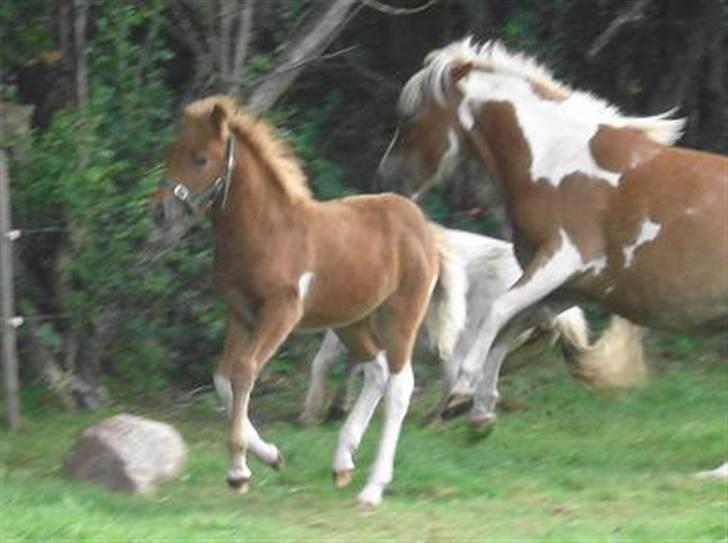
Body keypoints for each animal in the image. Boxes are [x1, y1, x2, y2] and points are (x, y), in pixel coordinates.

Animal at [151, 95, 466, 508]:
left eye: (201, 158)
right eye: (171, 152)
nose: (159, 211)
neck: (267, 231)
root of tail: (424, 228)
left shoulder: (281, 312)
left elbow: (244, 371)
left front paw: (238, 471)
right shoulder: (240, 313)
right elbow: (223, 376)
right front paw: (270, 456)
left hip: (400, 315)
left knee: (400, 385)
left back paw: (372, 488)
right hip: (352, 321)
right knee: (377, 370)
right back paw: (343, 463)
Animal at [382, 38, 728, 430]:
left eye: (409, 119)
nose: (388, 179)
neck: (555, 162)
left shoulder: (558, 261)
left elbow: (499, 311)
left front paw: (462, 390)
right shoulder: (568, 287)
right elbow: (510, 328)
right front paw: (481, 409)